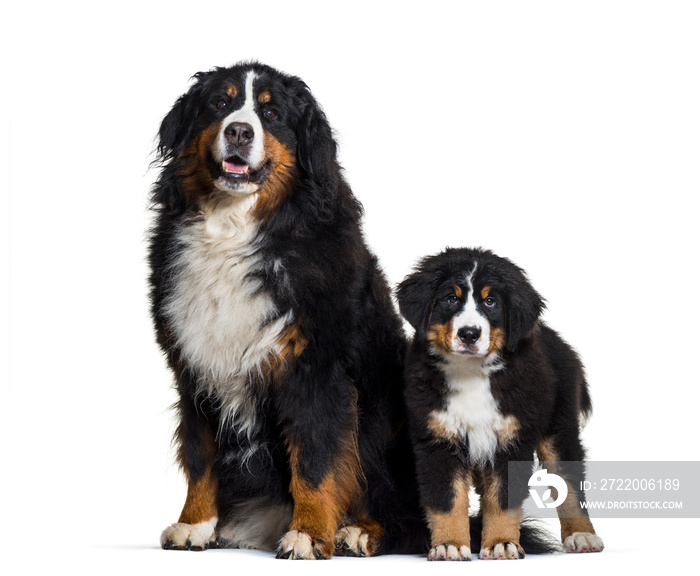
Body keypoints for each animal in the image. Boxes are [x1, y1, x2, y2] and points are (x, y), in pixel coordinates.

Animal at [147, 62, 422, 560]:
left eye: (271, 113)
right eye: (220, 103)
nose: (239, 131)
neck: (235, 229)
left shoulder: (314, 368)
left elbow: (315, 458)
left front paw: (309, 533)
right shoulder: (194, 364)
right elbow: (200, 455)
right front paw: (195, 524)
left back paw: (359, 532)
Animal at [396, 249, 604, 564]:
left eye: (490, 301)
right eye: (451, 298)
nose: (469, 334)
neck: (471, 372)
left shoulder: (511, 440)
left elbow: (504, 499)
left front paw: (501, 543)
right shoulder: (437, 439)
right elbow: (447, 500)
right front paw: (449, 545)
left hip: (559, 426)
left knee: (568, 481)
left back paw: (582, 534)